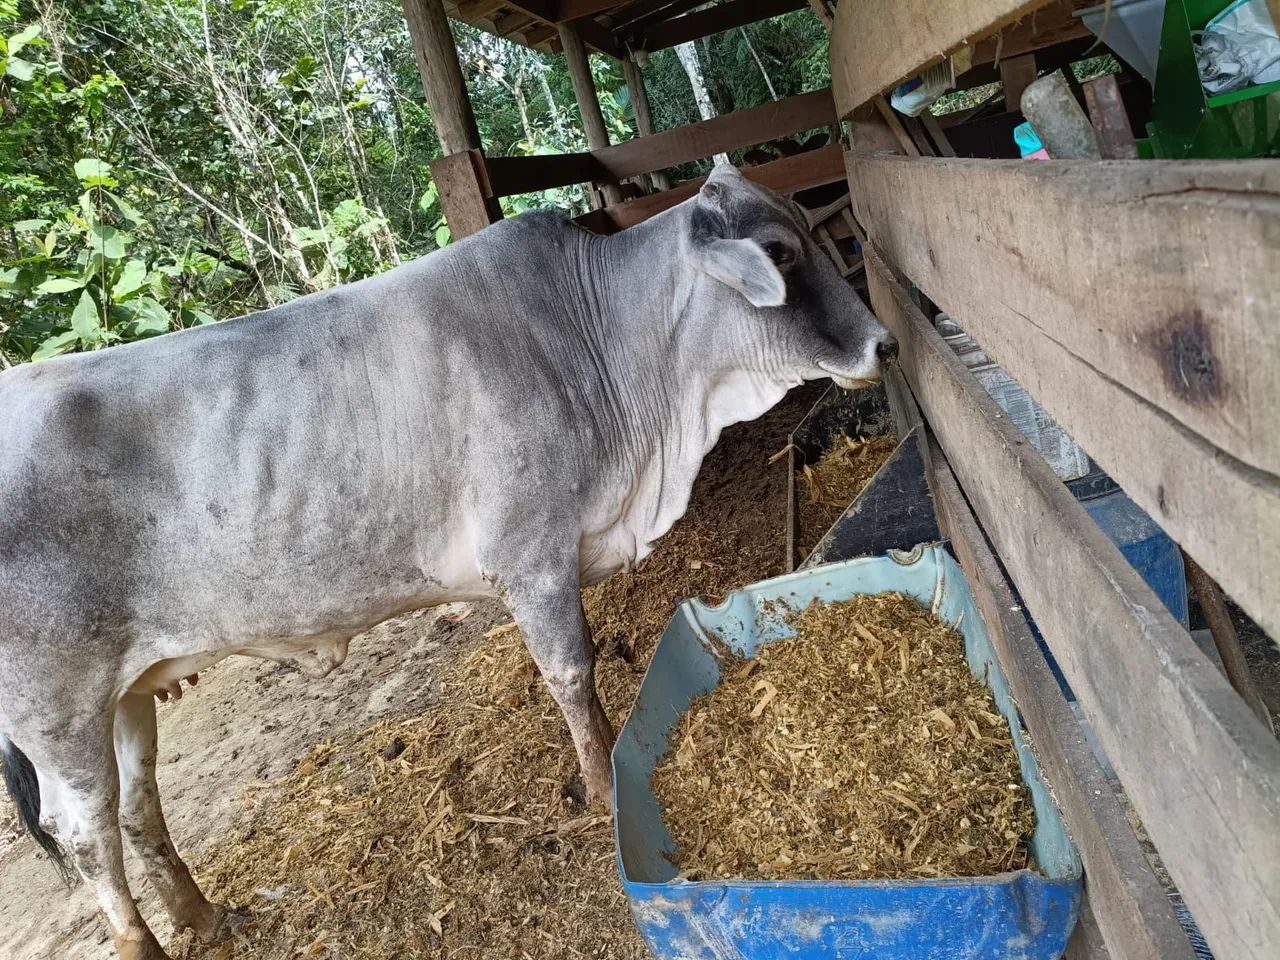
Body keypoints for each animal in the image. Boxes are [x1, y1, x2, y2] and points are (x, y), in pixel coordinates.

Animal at [0, 164, 895, 960]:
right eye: (780, 251)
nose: (884, 341)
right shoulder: (531, 557)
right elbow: (573, 676)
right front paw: (602, 790)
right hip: (58, 711)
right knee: (86, 835)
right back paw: (146, 942)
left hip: (127, 691)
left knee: (139, 810)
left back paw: (204, 917)